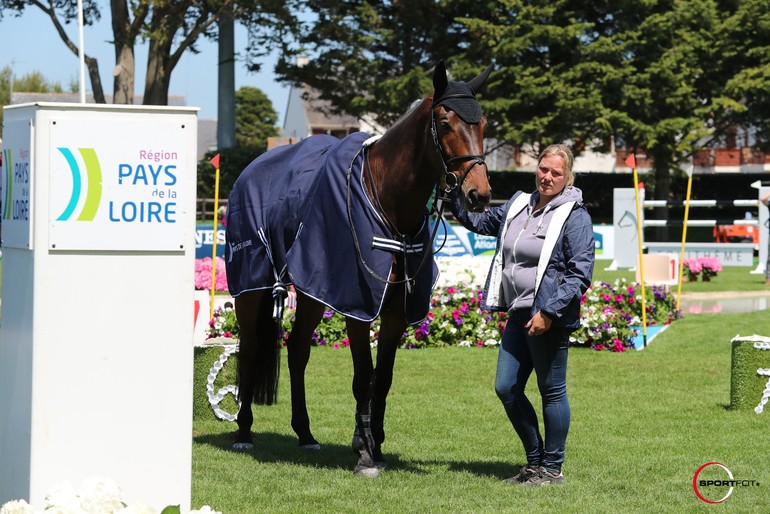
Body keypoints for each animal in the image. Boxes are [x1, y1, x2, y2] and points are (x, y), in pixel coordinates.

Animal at [224, 61, 492, 476]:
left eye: (483, 124)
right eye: (446, 122)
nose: (478, 194)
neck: (387, 201)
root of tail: (249, 172)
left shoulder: (396, 310)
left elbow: (383, 379)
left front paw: (374, 444)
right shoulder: (356, 305)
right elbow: (363, 376)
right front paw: (365, 453)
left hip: (312, 289)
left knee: (297, 349)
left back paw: (305, 433)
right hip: (252, 286)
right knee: (251, 346)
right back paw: (244, 431)